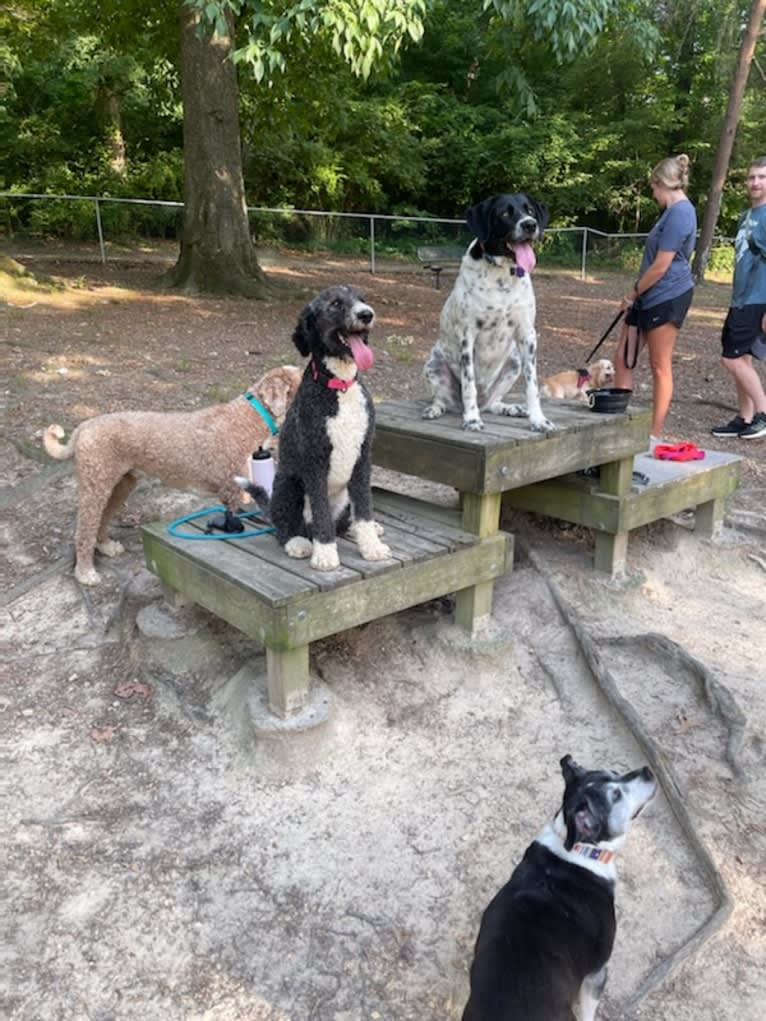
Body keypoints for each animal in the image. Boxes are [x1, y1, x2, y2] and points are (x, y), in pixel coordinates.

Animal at [41, 365, 300, 584]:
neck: (251, 415)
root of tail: (83, 427)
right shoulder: (235, 489)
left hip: (120, 485)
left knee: (102, 519)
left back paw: (106, 547)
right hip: (95, 486)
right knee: (84, 530)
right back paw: (85, 573)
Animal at [238, 287, 396, 571]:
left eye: (362, 300)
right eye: (334, 304)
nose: (367, 314)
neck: (340, 385)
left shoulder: (363, 457)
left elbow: (365, 508)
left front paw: (371, 546)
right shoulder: (315, 461)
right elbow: (321, 511)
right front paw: (325, 554)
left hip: (343, 496)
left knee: (343, 522)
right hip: (288, 485)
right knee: (286, 527)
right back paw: (297, 542)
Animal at [422, 192, 555, 432]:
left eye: (530, 210)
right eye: (504, 213)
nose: (530, 225)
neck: (502, 276)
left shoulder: (527, 334)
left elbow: (532, 385)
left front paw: (538, 419)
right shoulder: (468, 337)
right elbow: (469, 385)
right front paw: (472, 419)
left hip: (514, 361)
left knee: (493, 402)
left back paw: (509, 408)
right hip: (433, 364)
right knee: (443, 400)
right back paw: (437, 410)